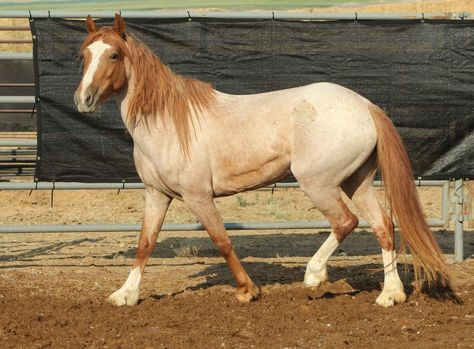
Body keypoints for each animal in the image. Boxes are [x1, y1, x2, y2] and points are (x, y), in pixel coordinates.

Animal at [73, 14, 448, 306]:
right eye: (84, 54)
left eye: (114, 54)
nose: (83, 99)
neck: (167, 122)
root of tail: (365, 106)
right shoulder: (156, 195)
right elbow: (145, 243)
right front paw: (125, 295)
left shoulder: (198, 196)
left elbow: (221, 240)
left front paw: (247, 289)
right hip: (357, 182)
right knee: (383, 225)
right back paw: (390, 295)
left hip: (319, 183)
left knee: (346, 222)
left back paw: (314, 277)